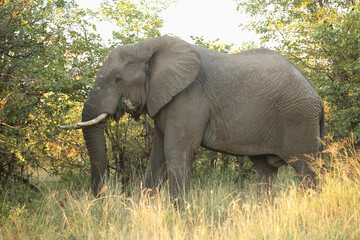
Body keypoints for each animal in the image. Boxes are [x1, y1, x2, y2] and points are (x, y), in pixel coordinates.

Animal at [62, 35, 326, 201]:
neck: (146, 46)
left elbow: (177, 150)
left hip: (299, 120)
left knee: (306, 171)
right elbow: (158, 154)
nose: (102, 199)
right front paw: (145, 209)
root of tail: (318, 98)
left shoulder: (188, 99)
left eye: (117, 79)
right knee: (265, 172)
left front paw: (180, 215)